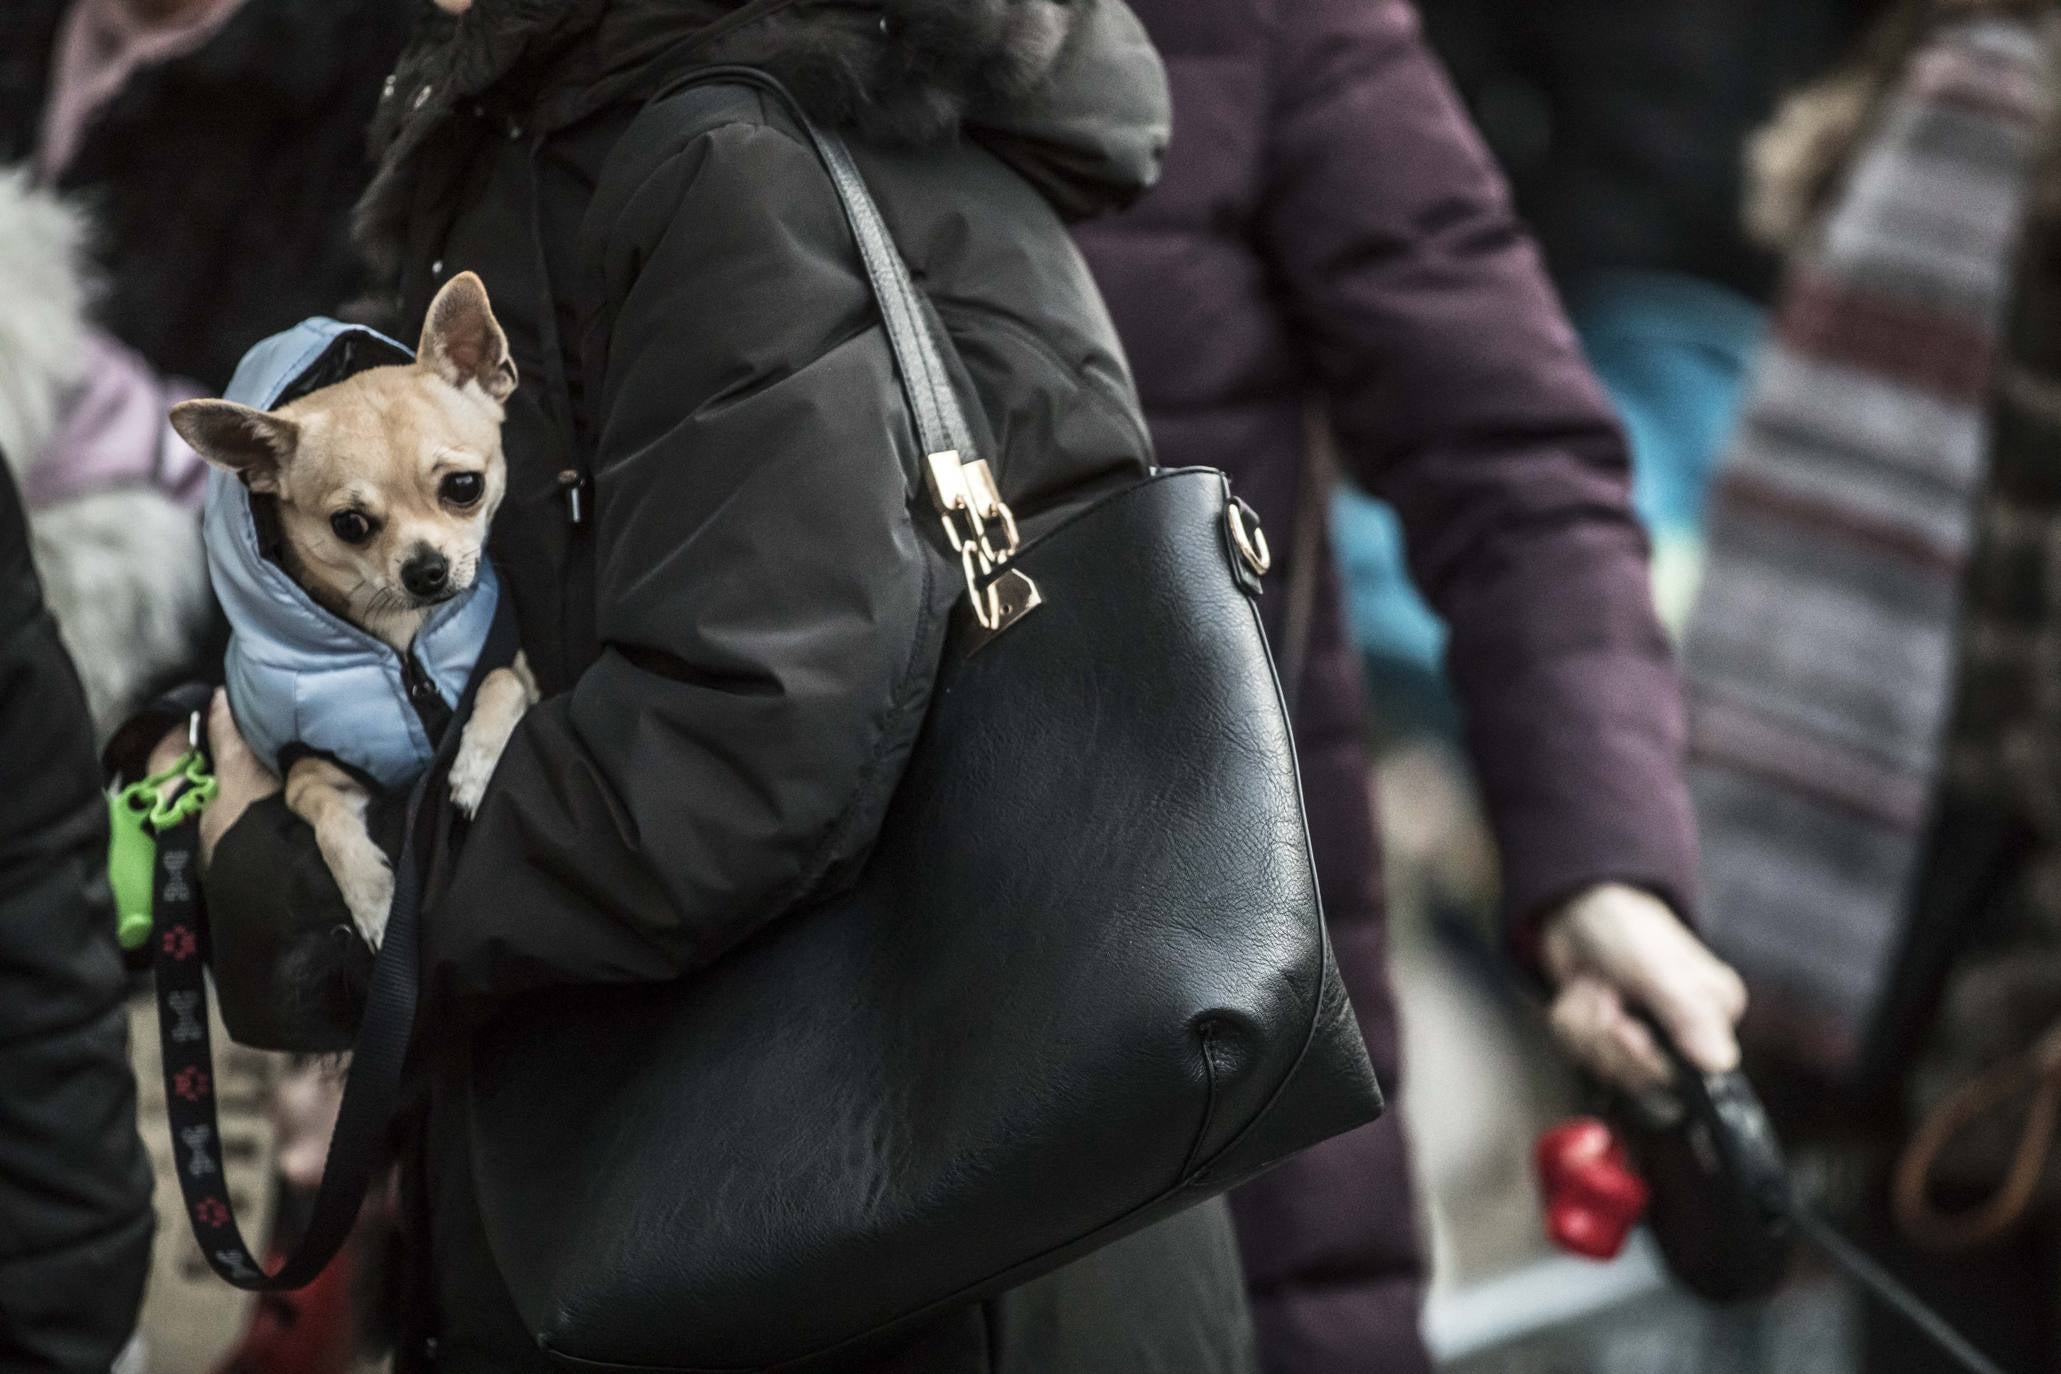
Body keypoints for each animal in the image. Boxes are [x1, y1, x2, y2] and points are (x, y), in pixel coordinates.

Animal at [172, 273, 535, 951]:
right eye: (350, 525)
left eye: (464, 487)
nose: (426, 571)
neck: (401, 643)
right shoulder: (310, 775)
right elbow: (329, 825)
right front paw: (373, 900)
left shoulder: (518, 666)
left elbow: (501, 681)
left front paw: (474, 766)